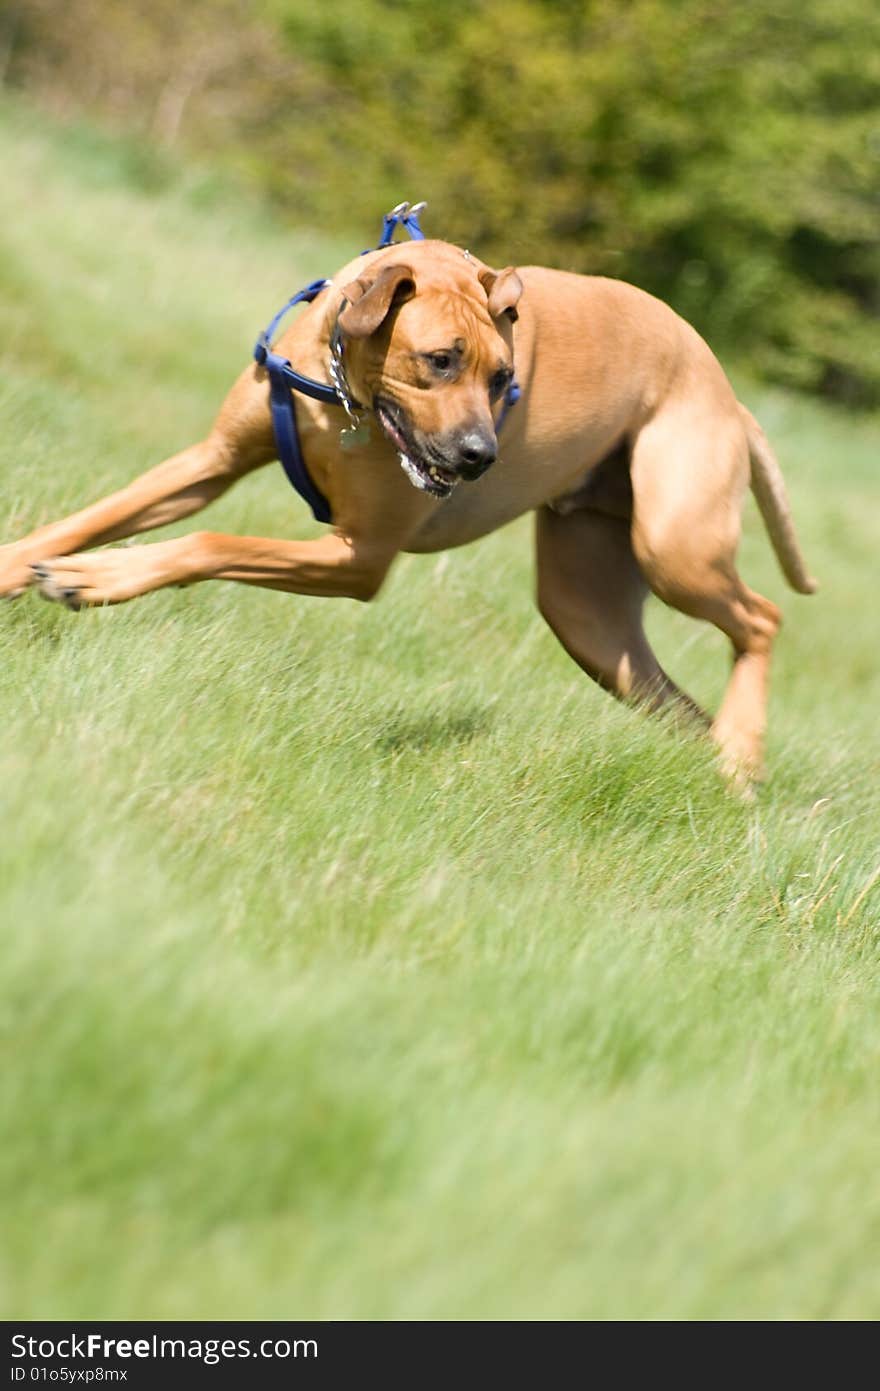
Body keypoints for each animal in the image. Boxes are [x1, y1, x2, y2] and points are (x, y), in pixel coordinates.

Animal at [0, 239, 817, 784]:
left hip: (673, 544)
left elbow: (205, 543)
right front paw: (28, 564)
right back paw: (722, 763)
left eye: (504, 376)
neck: (340, 393)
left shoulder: (356, 557)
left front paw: (92, 579)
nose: (481, 456)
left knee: (763, 618)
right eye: (440, 360)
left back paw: (741, 757)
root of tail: (731, 398)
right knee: (677, 700)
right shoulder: (210, 463)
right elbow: (97, 516)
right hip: (587, 615)